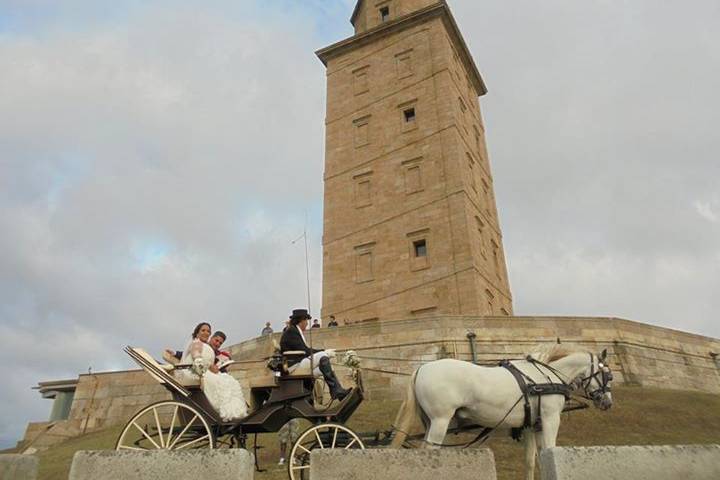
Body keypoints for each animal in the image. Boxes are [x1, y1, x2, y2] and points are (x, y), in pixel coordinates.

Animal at [390, 344, 612, 480]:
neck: (545, 378)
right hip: (440, 420)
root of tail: (422, 368)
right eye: (608, 375)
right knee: (429, 452)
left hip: (432, 422)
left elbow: (532, 460)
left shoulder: (532, 426)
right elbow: (550, 451)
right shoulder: (550, 420)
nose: (608, 403)